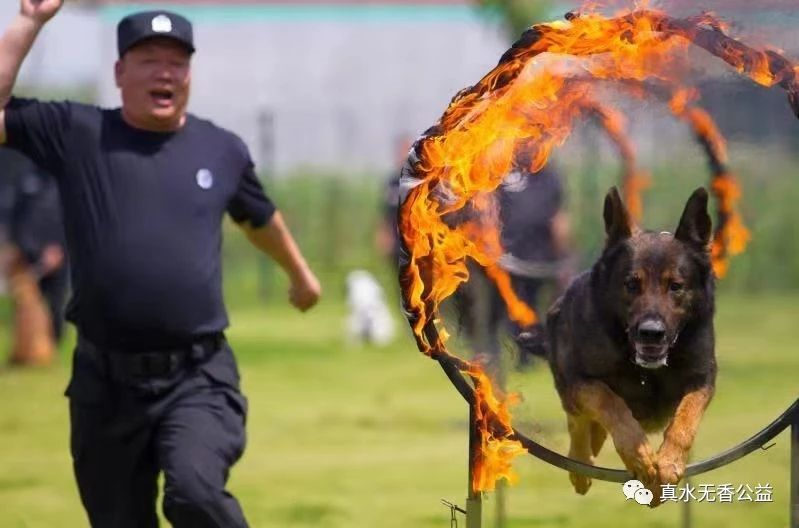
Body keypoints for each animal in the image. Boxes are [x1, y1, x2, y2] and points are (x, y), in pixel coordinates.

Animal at [548, 186, 716, 504]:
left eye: (675, 286)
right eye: (631, 284)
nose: (651, 333)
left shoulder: (702, 379)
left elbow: (685, 420)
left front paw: (668, 462)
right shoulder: (582, 380)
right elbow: (610, 403)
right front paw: (640, 456)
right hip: (567, 384)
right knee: (578, 423)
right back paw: (581, 463)